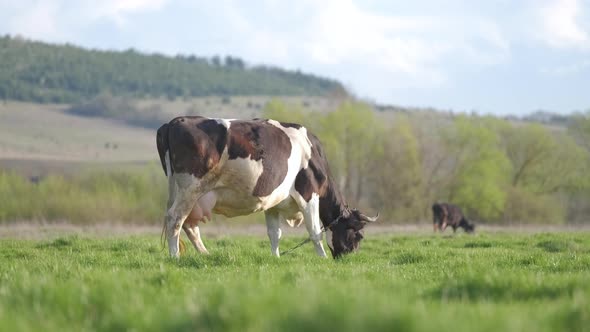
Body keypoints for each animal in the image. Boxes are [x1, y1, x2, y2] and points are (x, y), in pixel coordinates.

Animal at [157, 116, 380, 260]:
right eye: (358, 235)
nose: (349, 259)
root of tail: (175, 121)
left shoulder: (273, 203)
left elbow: (274, 233)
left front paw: (276, 257)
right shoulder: (309, 195)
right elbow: (315, 231)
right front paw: (323, 258)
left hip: (185, 192)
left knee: (189, 225)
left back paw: (205, 254)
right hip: (190, 188)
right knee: (175, 219)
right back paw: (175, 257)